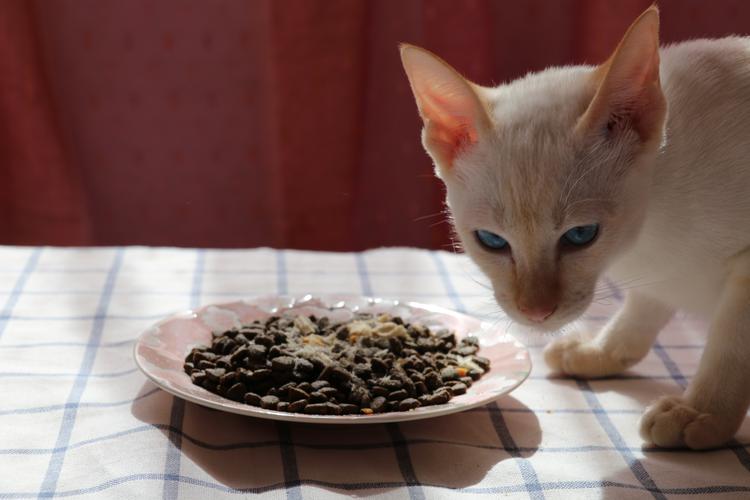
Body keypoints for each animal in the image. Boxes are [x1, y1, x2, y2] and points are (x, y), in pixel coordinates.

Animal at [402, 3, 750, 450]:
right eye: (491, 241)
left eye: (581, 236)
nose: (535, 313)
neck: (646, 236)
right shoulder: (661, 275)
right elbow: (643, 309)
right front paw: (602, 352)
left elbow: (729, 343)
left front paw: (703, 412)